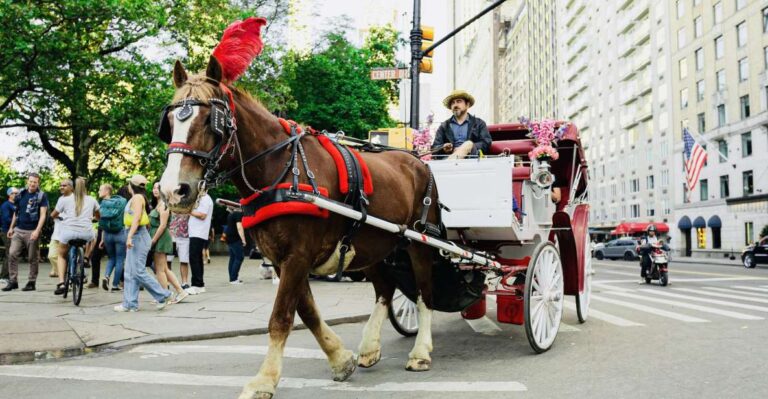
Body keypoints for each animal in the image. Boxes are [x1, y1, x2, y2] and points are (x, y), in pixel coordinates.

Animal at [159, 57, 440, 399]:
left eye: (211, 121)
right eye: (169, 121)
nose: (173, 190)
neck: (281, 169)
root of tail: (419, 161)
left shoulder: (298, 255)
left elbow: (281, 317)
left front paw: (264, 379)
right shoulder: (283, 259)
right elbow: (307, 312)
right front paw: (340, 359)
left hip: (420, 241)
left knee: (425, 293)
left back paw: (421, 352)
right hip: (369, 246)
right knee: (385, 290)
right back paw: (370, 346)